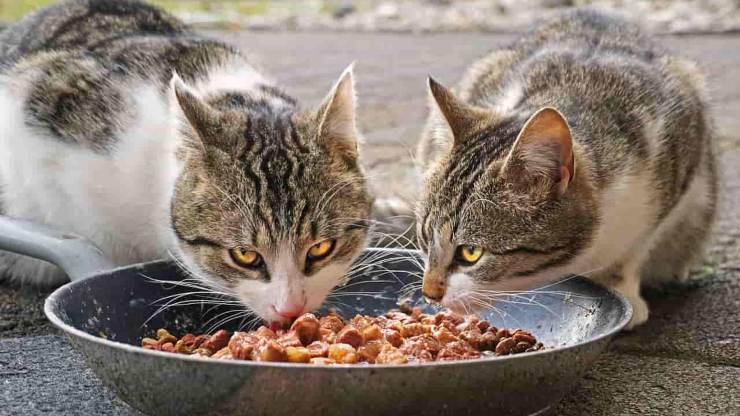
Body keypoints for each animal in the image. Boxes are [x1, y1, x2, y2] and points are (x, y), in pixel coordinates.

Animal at [414, 9, 712, 328]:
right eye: (425, 237)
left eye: (471, 253)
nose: (429, 293)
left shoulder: (678, 156)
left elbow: (632, 250)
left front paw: (622, 289)